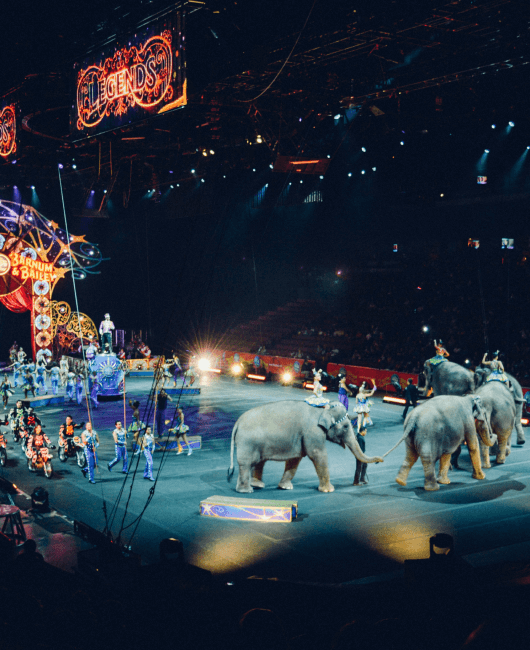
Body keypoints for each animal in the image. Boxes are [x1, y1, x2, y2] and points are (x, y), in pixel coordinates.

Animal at [227, 400, 384, 493]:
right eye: (345, 426)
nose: (381, 460)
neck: (322, 409)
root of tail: (237, 422)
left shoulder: (299, 439)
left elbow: (295, 459)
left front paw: (285, 487)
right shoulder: (313, 432)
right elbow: (318, 454)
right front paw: (329, 490)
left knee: (259, 462)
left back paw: (257, 485)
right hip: (248, 443)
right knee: (246, 464)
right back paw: (246, 490)